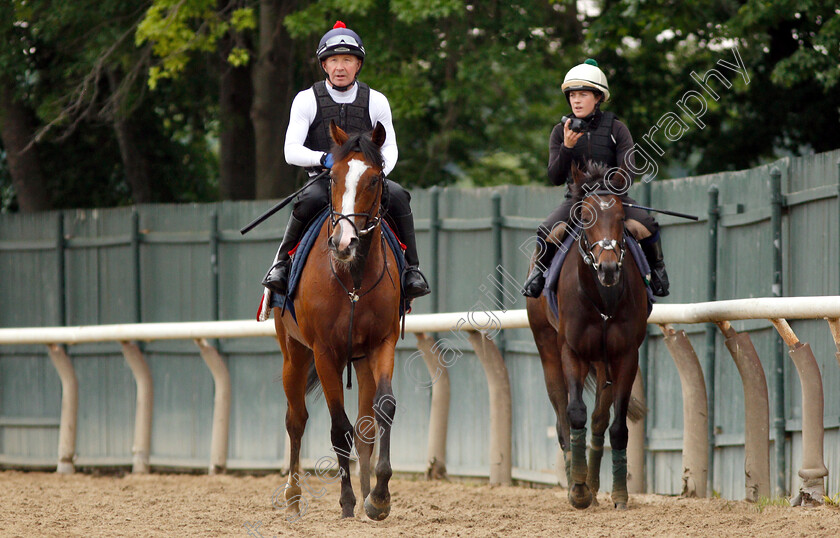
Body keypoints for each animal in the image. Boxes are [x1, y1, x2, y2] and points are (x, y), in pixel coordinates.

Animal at [270, 122, 398, 520]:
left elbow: (382, 410)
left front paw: (378, 497)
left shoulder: (381, 343)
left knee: (364, 425)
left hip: (359, 360)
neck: (351, 276)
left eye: (373, 179)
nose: (344, 242)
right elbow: (338, 429)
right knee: (296, 420)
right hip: (294, 354)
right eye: (334, 177)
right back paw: (293, 497)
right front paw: (346, 502)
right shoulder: (325, 352)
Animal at [524, 161, 648, 508]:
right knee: (562, 415)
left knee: (599, 419)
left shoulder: (625, 355)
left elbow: (616, 425)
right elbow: (574, 412)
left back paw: (593, 484)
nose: (608, 268)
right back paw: (575, 481)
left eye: (619, 217)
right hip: (547, 347)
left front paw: (618, 493)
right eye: (585, 217)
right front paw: (577, 491)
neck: (602, 299)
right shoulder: (572, 350)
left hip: (604, 362)